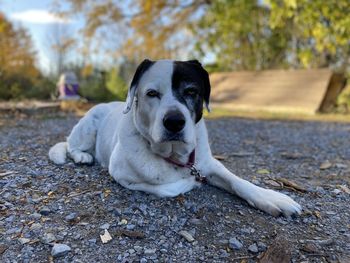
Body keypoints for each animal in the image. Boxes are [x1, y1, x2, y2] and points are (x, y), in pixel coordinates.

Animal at [49, 60, 300, 219]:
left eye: (191, 91)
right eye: (152, 93)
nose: (174, 121)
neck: (175, 155)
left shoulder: (209, 163)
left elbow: (238, 181)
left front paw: (270, 197)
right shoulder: (122, 174)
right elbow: (168, 188)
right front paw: (188, 183)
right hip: (88, 126)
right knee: (70, 145)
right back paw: (82, 156)